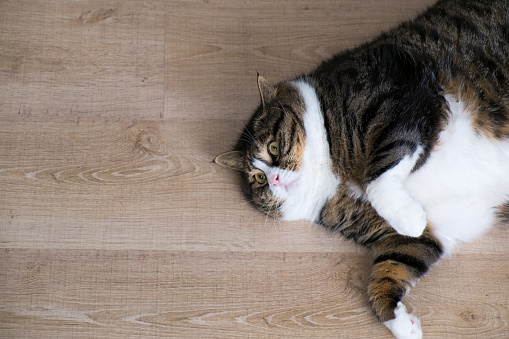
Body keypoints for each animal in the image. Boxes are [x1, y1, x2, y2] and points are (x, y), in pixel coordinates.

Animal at [213, 1, 508, 338]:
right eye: (259, 179)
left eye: (273, 148)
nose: (273, 178)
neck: (331, 174)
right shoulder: (414, 236)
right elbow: (390, 269)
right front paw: (401, 322)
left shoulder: (399, 97)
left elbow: (378, 177)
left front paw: (409, 216)